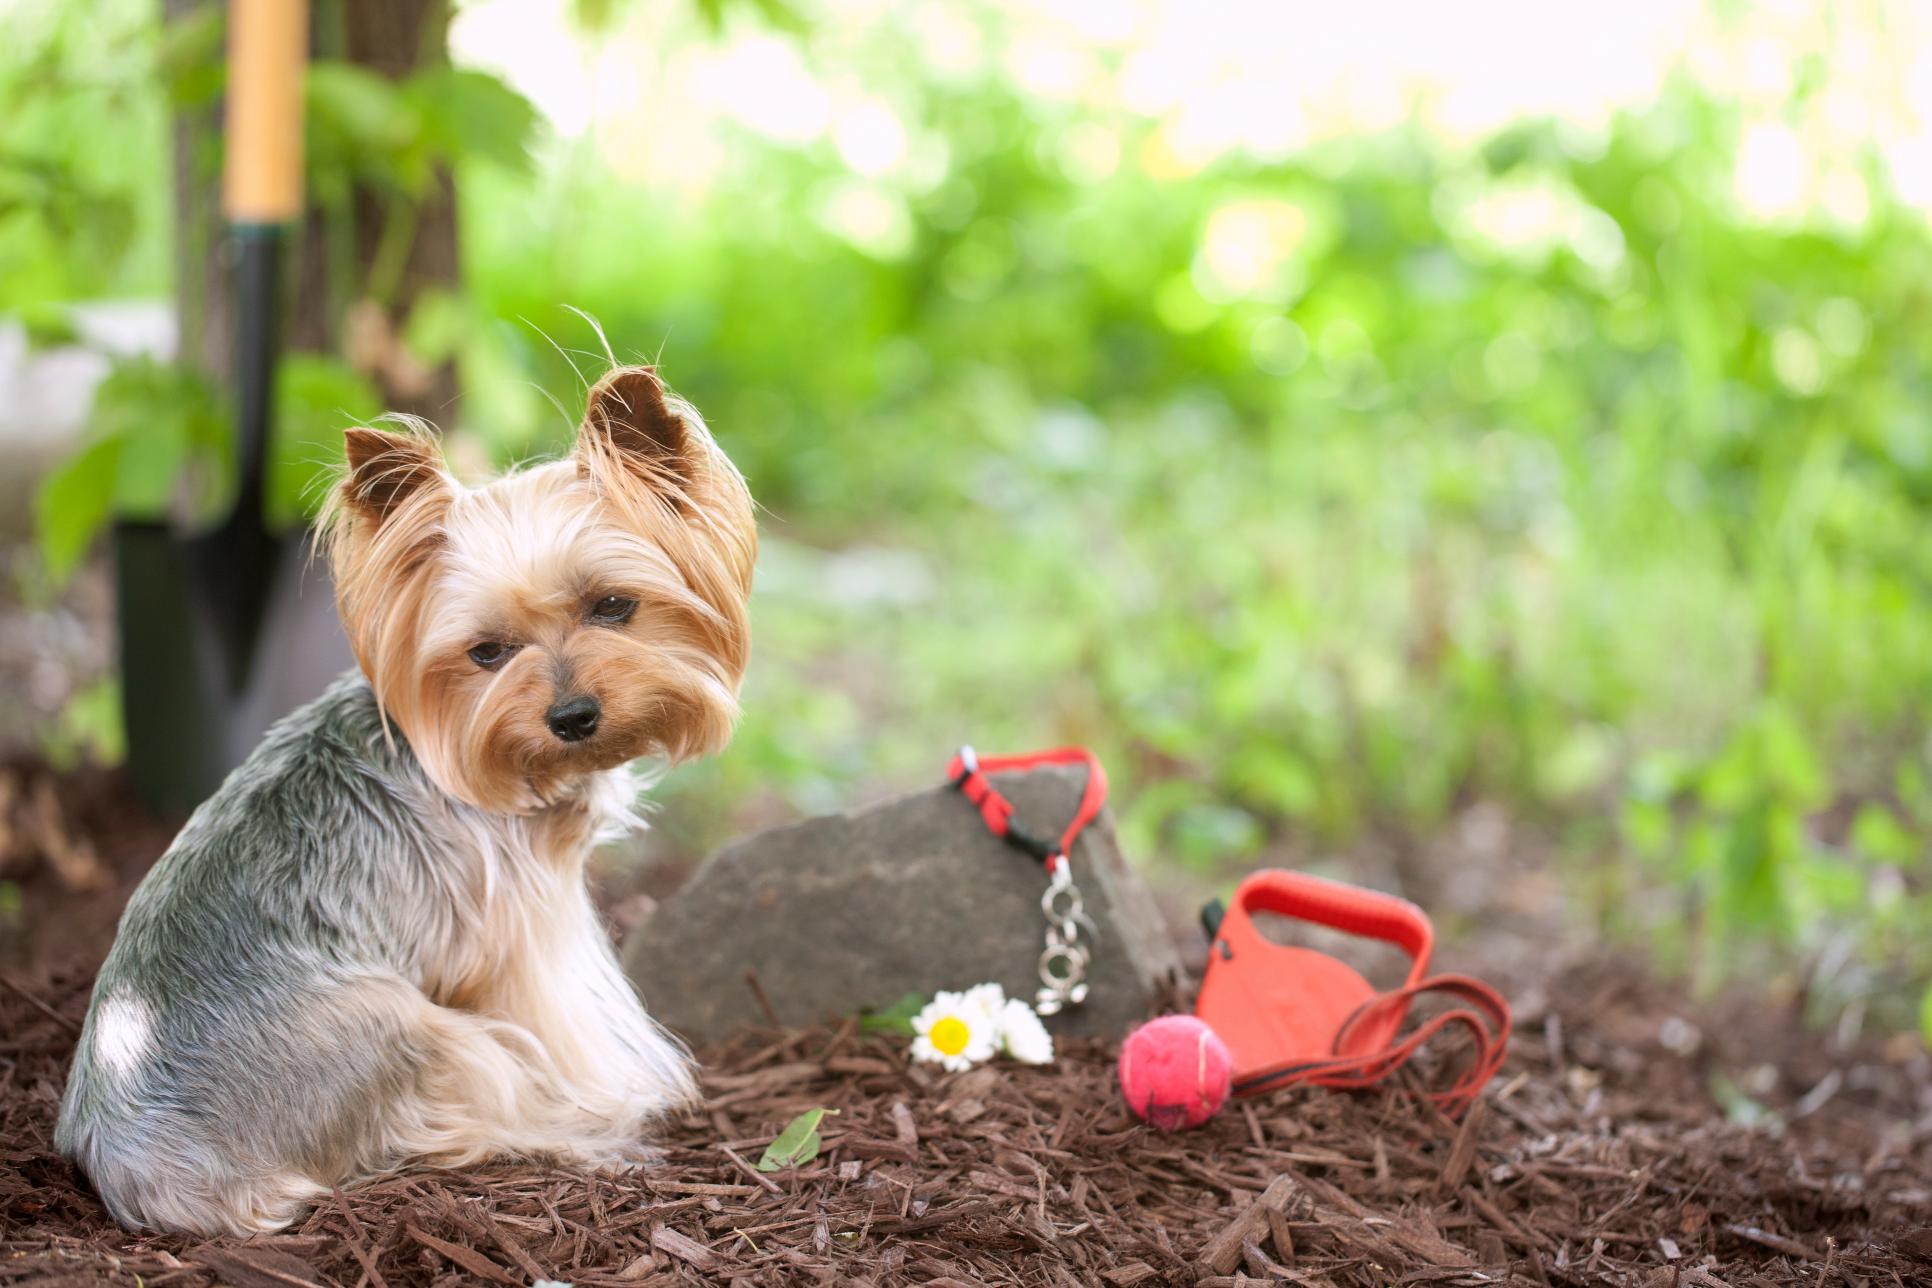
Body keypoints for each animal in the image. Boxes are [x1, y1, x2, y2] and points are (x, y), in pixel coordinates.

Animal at [47, 366, 753, 1235]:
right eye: (487, 653)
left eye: (614, 606)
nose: (572, 718)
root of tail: (149, 1175)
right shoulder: (524, 938)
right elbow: (566, 1028)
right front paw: (618, 1097)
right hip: (400, 1025)